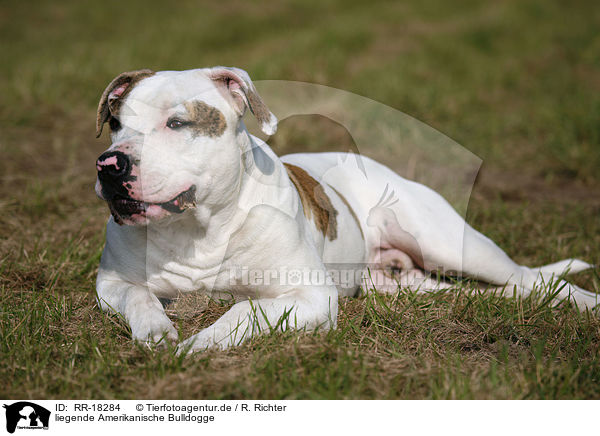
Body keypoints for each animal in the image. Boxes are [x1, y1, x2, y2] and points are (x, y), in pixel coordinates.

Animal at [92, 65, 596, 350]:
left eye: (177, 123)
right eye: (115, 122)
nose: (110, 165)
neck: (198, 229)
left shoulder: (310, 295)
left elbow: (243, 311)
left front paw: (196, 345)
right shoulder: (111, 284)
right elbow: (139, 295)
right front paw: (156, 332)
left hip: (452, 244)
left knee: (532, 278)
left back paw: (587, 303)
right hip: (409, 286)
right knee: (505, 291)